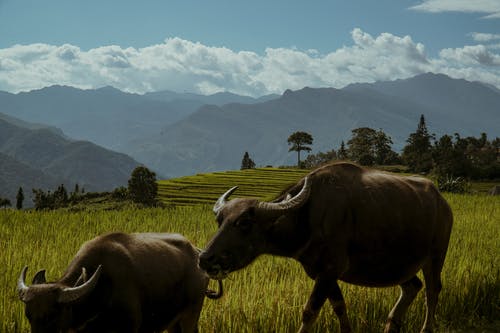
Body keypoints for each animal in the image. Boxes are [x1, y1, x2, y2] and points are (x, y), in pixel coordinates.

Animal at [17, 231, 222, 332]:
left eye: (52, 315)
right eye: (29, 315)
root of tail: (196, 253)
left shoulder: (130, 326)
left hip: (190, 315)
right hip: (173, 322)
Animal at [199, 161, 454, 332]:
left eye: (244, 223)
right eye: (219, 220)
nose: (205, 259)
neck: (307, 217)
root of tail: (442, 202)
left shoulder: (330, 270)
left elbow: (309, 312)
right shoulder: (323, 273)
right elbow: (339, 306)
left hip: (435, 256)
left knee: (432, 290)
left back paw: (426, 328)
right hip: (398, 266)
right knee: (413, 286)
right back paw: (391, 325)